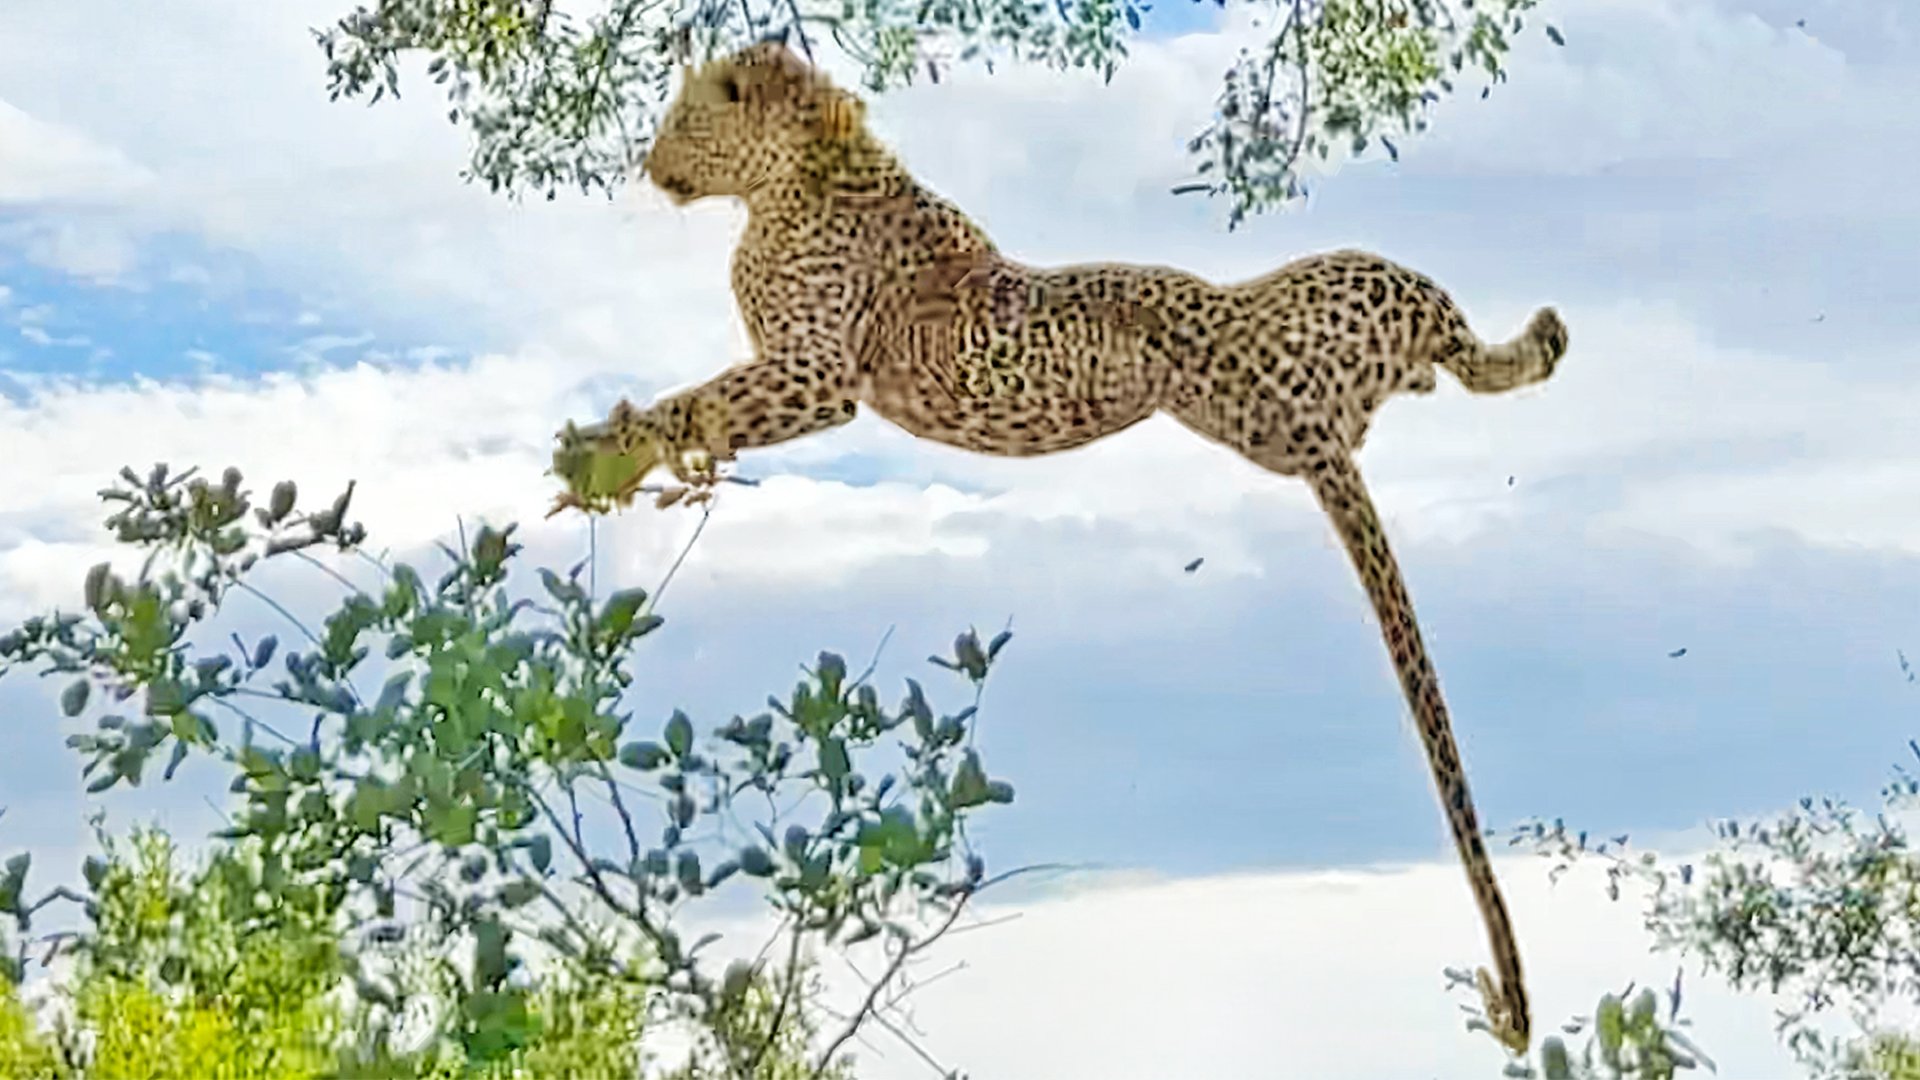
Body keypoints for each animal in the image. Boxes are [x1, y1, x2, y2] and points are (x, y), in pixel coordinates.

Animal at [552, 37, 1570, 1054]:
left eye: (684, 121)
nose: (652, 169)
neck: (800, 171)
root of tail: (1310, 422)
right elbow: (700, 412)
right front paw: (609, 454)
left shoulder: (815, 374)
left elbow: (698, 404)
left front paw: (604, 451)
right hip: (1342, 330)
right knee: (1469, 358)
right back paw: (1532, 340)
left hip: (1276, 354)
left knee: (1448, 345)